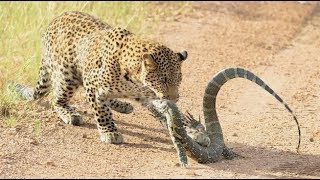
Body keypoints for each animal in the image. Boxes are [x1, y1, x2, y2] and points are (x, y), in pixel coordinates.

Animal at [7, 10, 189, 143]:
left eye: (178, 80)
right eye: (163, 80)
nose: (174, 98)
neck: (135, 80)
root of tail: (52, 22)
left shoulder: (146, 94)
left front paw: (187, 127)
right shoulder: (92, 84)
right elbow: (102, 112)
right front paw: (109, 132)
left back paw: (122, 104)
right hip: (67, 77)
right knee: (56, 100)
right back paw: (70, 114)